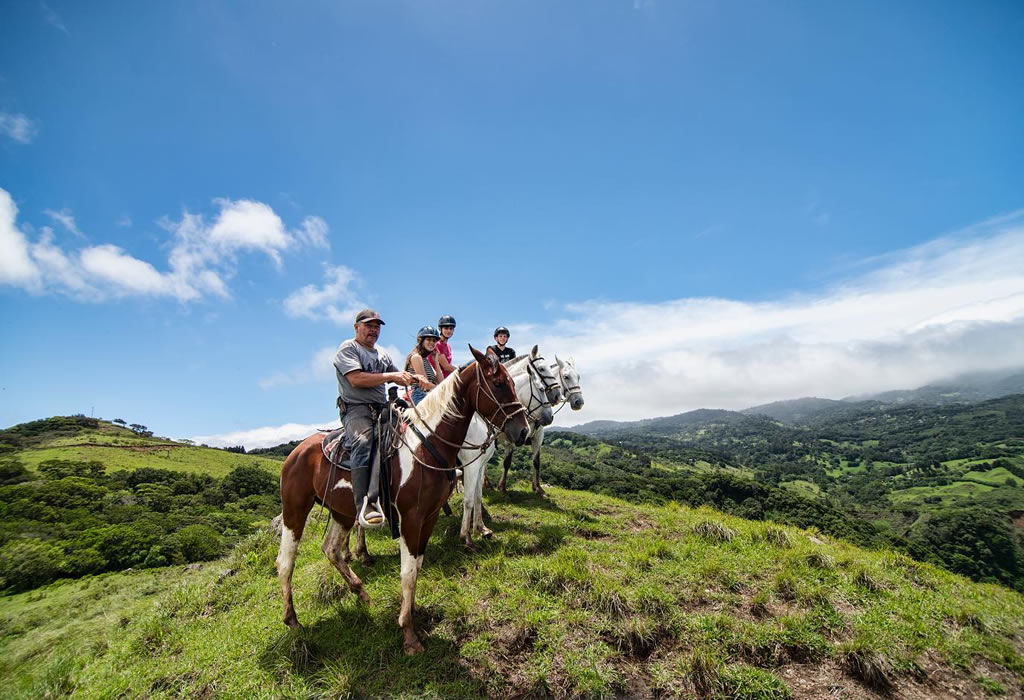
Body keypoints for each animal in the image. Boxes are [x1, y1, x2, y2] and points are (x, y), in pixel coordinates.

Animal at [276, 347, 528, 654]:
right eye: (500, 384)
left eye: (514, 383)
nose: (523, 431)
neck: (427, 444)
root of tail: (297, 451)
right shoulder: (411, 517)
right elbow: (407, 572)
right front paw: (409, 635)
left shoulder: (430, 515)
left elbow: (417, 566)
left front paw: (412, 612)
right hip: (295, 509)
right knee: (286, 561)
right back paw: (292, 620)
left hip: (343, 513)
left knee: (331, 549)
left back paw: (362, 593)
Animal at [495, 356, 585, 497]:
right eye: (566, 377)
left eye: (578, 377)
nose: (579, 402)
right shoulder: (510, 439)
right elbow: (506, 462)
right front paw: (502, 487)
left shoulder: (537, 436)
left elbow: (536, 461)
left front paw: (537, 487)